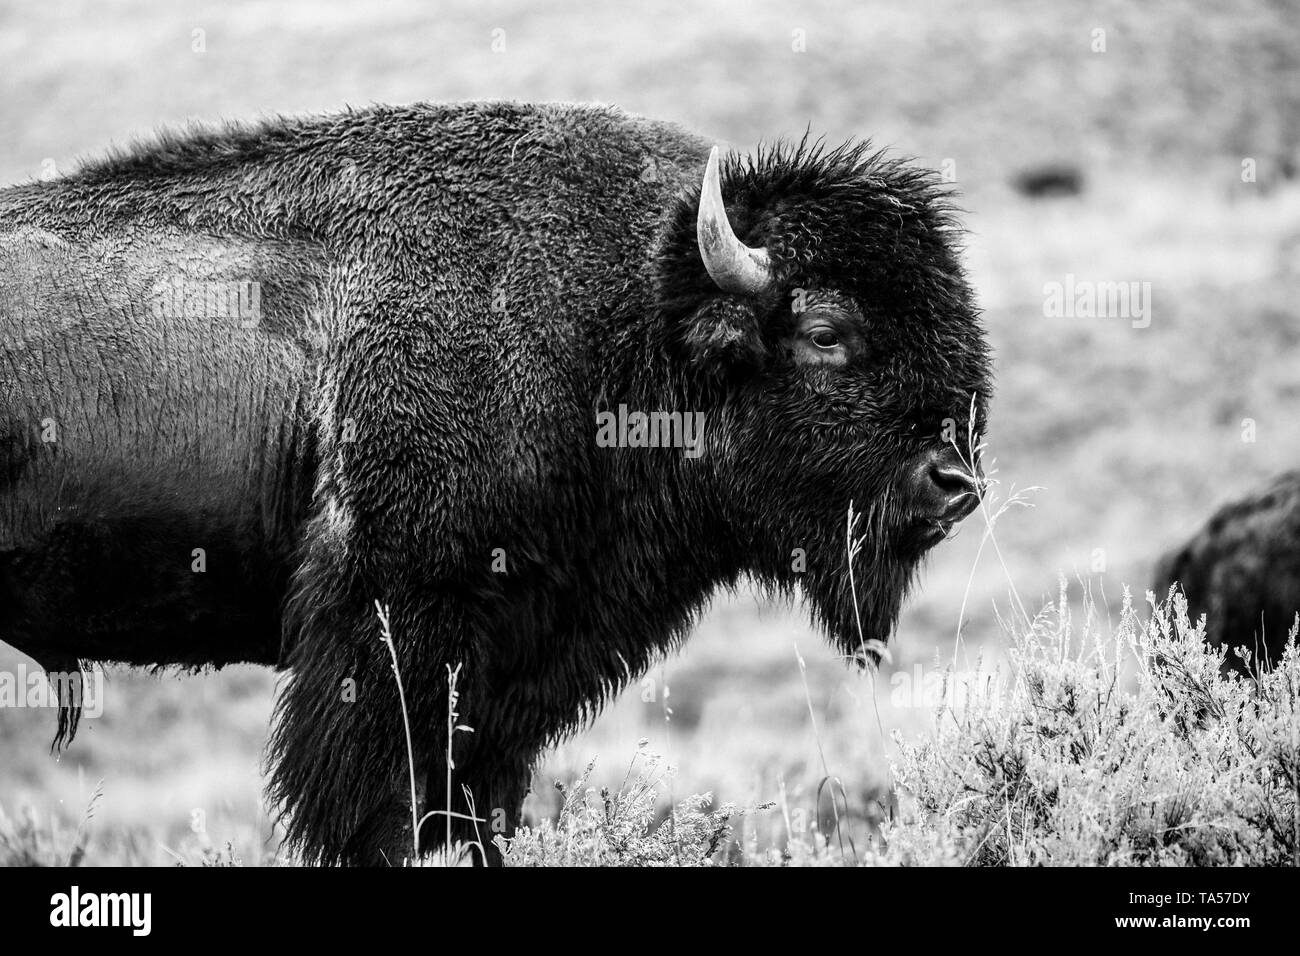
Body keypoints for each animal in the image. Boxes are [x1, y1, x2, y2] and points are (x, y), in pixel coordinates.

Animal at [0, 100, 987, 863]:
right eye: (825, 331)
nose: (953, 483)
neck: (627, 317)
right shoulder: (395, 632)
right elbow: (379, 814)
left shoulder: (513, 669)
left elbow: (482, 806)